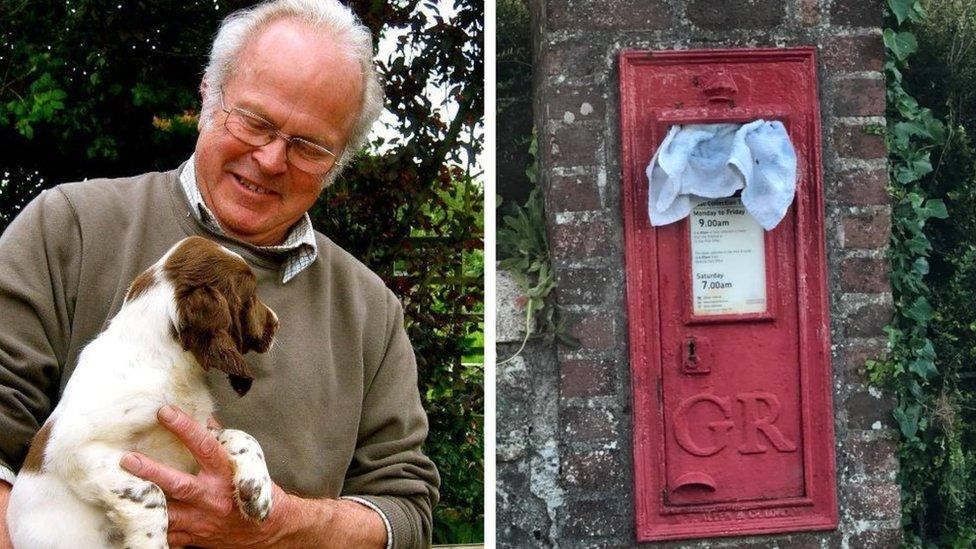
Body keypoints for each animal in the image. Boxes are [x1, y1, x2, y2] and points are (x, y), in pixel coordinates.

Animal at [7, 237, 280, 548]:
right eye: (251, 295)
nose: (277, 322)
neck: (161, 361)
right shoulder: (75, 450)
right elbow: (151, 493)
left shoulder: (192, 440)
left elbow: (243, 436)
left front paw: (258, 492)